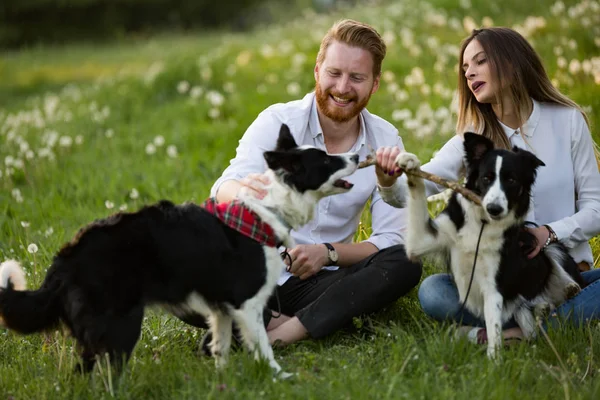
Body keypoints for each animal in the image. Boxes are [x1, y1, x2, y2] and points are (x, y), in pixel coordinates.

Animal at [0, 123, 358, 376]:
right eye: (325, 159)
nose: (356, 156)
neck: (269, 208)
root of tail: (66, 258)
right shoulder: (247, 303)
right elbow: (264, 349)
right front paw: (279, 377)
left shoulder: (220, 307)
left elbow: (221, 348)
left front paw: (225, 383)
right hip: (119, 325)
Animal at [396, 133, 584, 358]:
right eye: (486, 178)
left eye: (511, 180)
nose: (494, 208)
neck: (483, 224)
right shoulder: (422, 241)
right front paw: (409, 163)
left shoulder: (494, 285)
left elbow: (494, 326)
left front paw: (494, 360)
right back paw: (541, 309)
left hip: (544, 246)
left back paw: (567, 291)